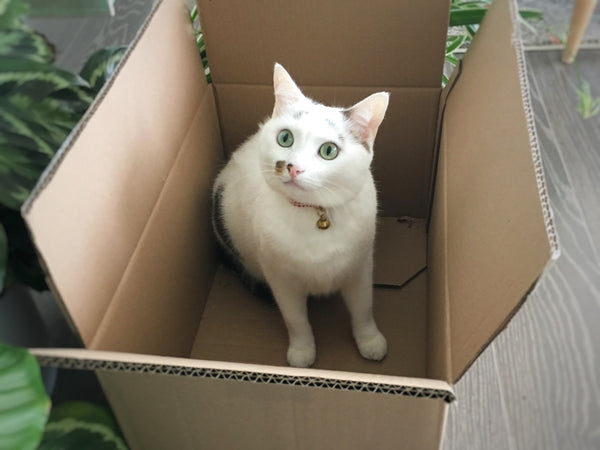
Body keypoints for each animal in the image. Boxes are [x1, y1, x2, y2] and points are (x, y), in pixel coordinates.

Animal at [211, 64, 390, 370]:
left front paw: (370, 340)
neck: (315, 216)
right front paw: (302, 350)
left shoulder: (360, 265)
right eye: (285, 138)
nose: (293, 167)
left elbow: (363, 307)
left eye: (329, 151)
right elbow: (295, 318)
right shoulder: (280, 277)